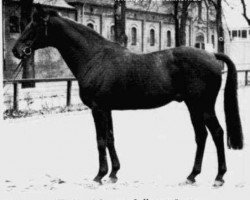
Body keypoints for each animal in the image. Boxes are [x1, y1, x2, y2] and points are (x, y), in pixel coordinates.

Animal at [12, 5, 243, 188]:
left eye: (33, 25)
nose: (16, 50)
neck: (94, 57)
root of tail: (211, 55)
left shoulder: (98, 109)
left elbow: (100, 140)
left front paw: (99, 176)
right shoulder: (107, 109)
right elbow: (111, 138)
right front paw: (114, 173)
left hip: (203, 106)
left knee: (217, 133)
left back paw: (219, 177)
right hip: (193, 106)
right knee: (201, 136)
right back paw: (191, 176)